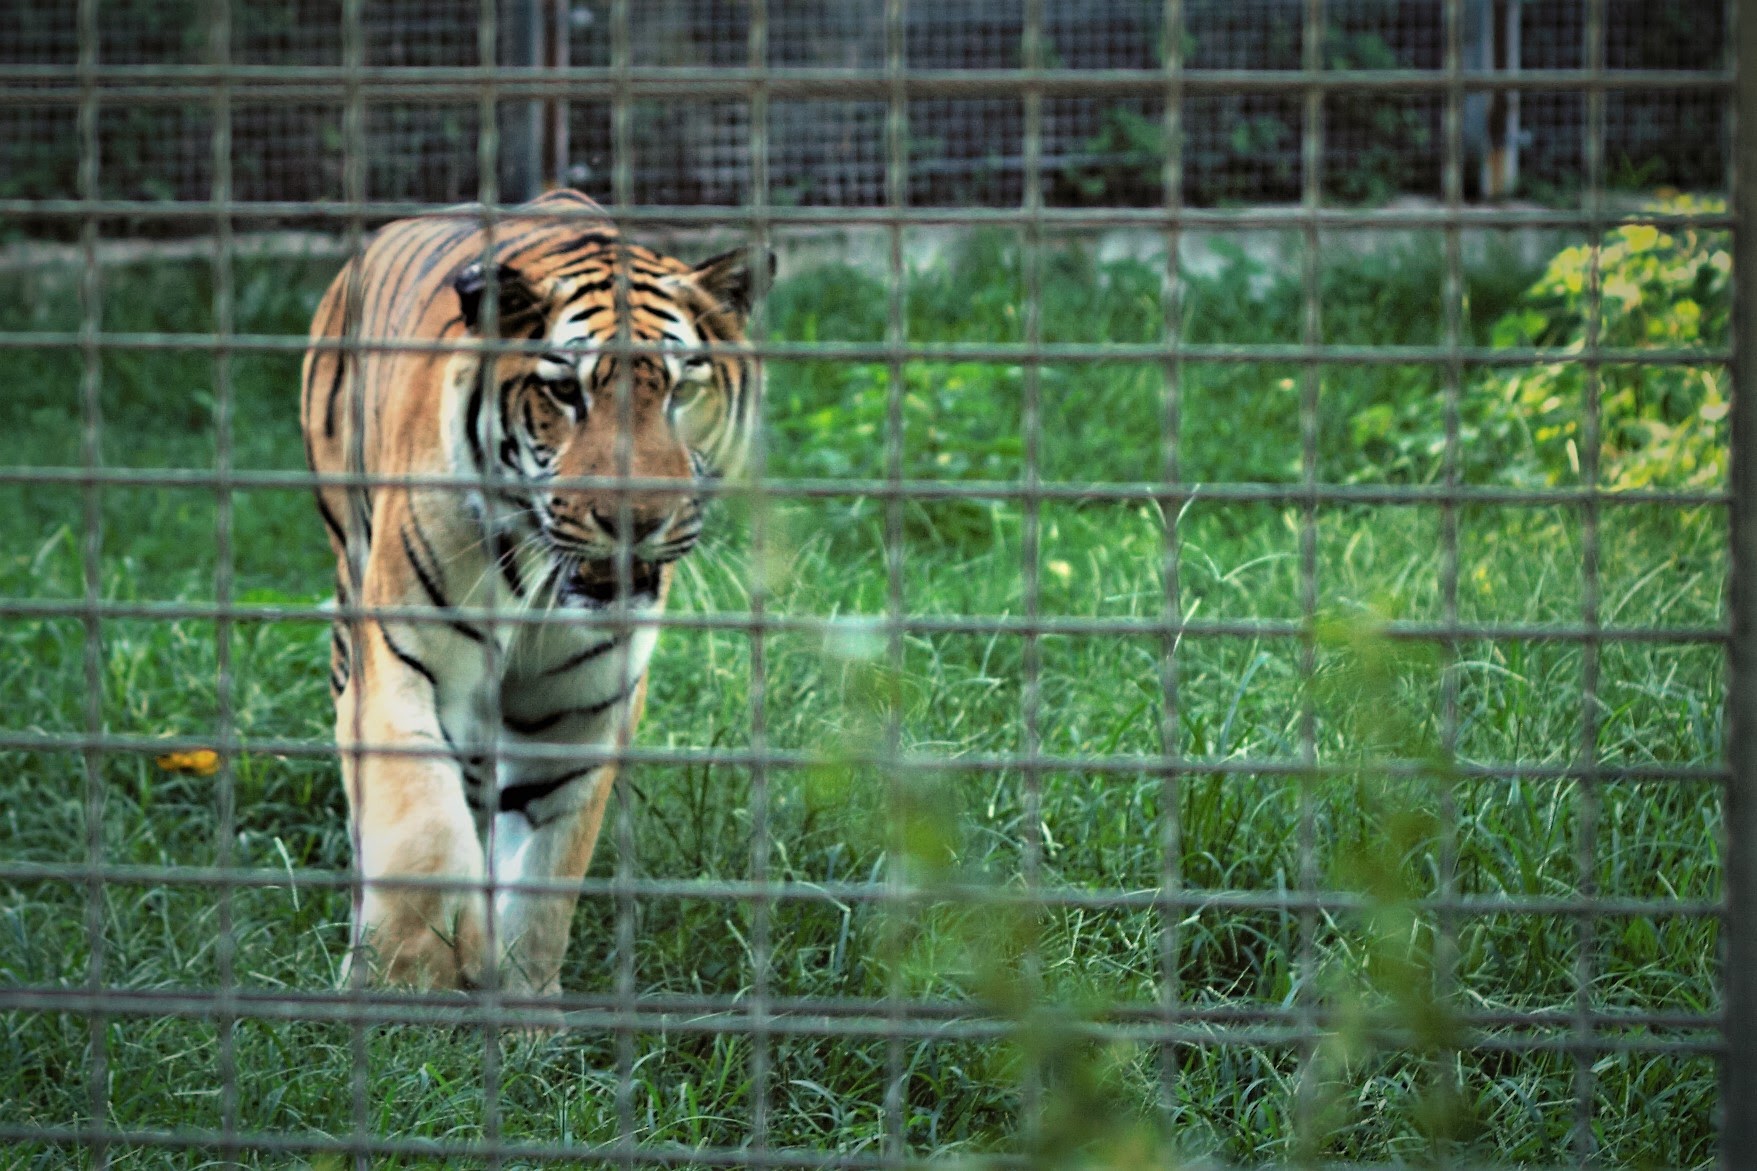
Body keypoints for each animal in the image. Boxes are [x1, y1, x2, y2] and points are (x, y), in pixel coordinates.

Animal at [300, 188, 763, 1000]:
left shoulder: (581, 709)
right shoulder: (401, 664)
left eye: (681, 389)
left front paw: (520, 1004)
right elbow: (421, 826)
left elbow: (545, 881)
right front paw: (403, 985)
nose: (634, 519)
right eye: (564, 391)